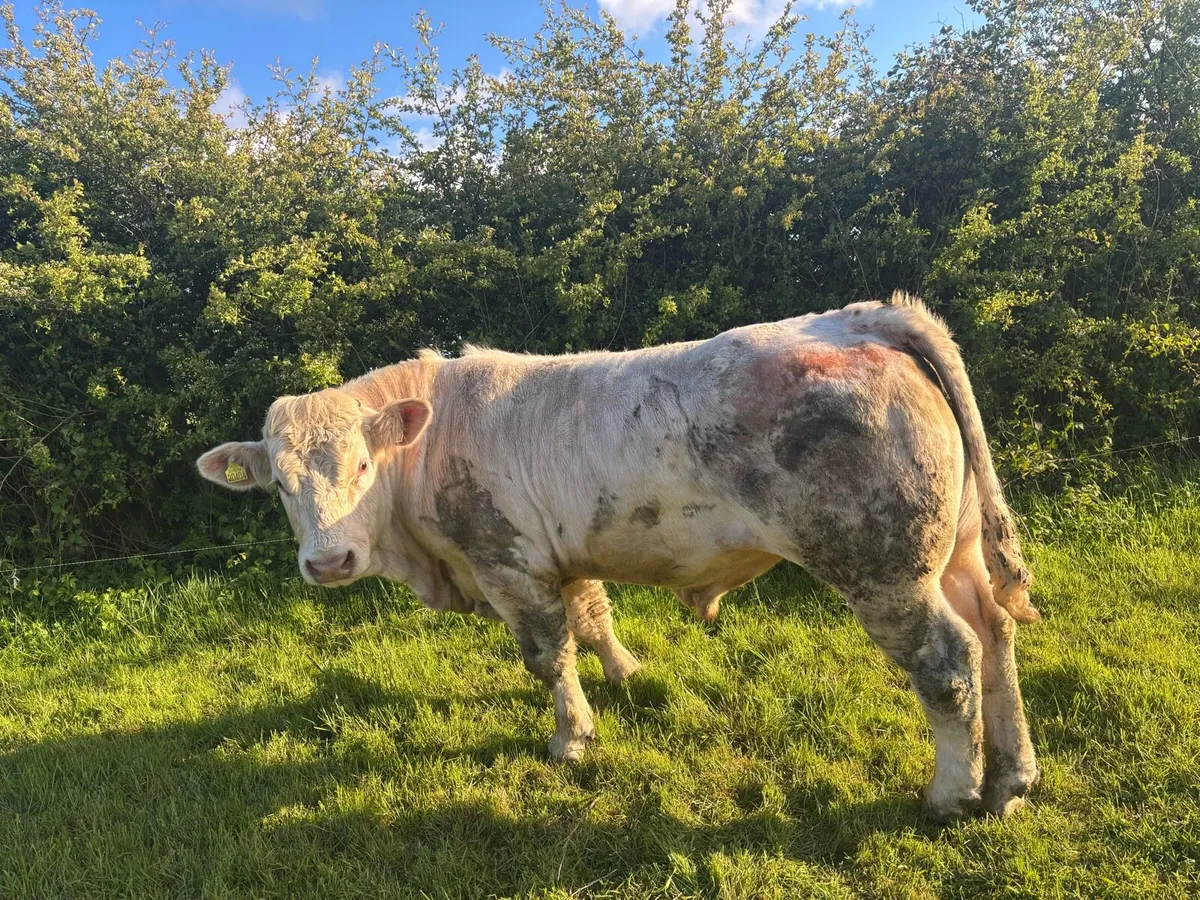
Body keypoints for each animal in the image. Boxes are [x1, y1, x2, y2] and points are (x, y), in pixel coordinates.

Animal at [197, 294, 1040, 821]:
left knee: (948, 662)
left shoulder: (507, 564)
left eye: (364, 465)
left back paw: (951, 793)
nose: (328, 562)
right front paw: (625, 673)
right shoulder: (564, 555)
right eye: (279, 485)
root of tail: (862, 317)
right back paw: (1011, 778)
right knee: (995, 632)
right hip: (955, 551)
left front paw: (570, 738)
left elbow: (548, 655)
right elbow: (594, 614)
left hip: (883, 566)